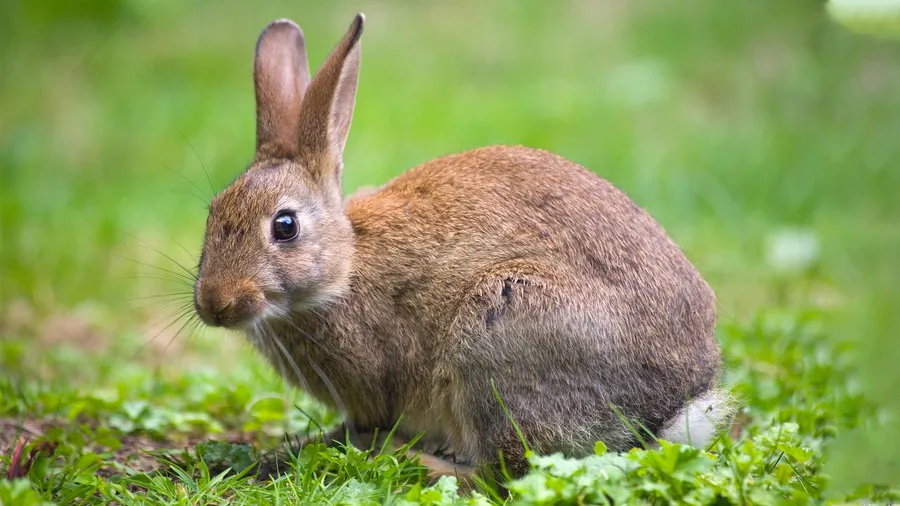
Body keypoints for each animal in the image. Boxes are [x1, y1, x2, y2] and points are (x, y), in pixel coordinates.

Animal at [192, 12, 737, 485]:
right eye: (212, 215)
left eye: (284, 226)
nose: (215, 305)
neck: (344, 266)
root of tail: (670, 407)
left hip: (499, 330)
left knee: (503, 471)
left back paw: (413, 460)